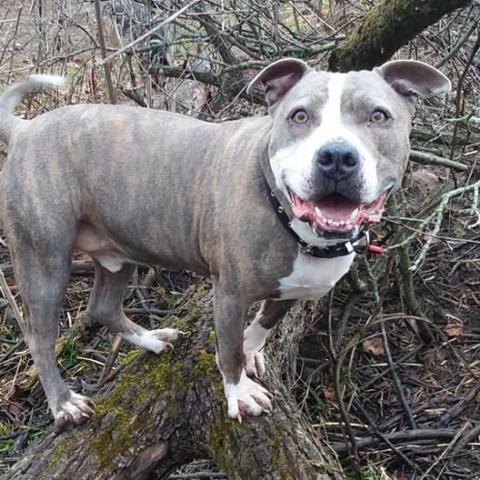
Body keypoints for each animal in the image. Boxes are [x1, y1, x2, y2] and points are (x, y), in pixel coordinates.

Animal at [0, 59, 450, 424]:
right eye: (300, 115)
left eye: (378, 115)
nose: (337, 157)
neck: (294, 223)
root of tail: (26, 128)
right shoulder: (230, 293)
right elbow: (229, 348)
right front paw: (240, 392)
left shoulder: (297, 286)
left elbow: (265, 323)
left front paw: (253, 349)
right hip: (43, 260)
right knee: (40, 338)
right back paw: (64, 403)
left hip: (117, 253)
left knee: (102, 307)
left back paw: (152, 340)